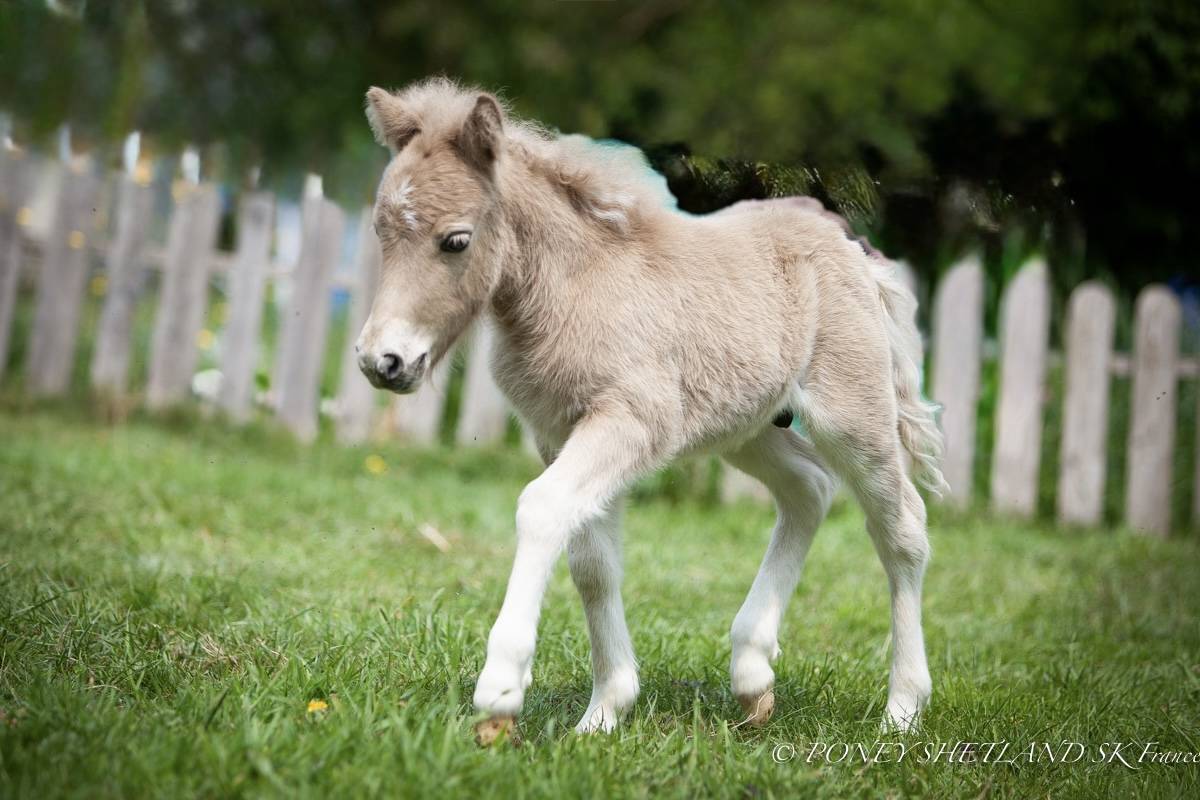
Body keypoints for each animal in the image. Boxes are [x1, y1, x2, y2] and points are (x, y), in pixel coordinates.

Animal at [354, 77, 946, 743]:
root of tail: (853, 248)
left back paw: (903, 708)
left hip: (853, 413)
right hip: (748, 428)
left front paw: (500, 696)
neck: (575, 285)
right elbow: (592, 561)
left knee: (901, 527)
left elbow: (542, 510)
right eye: (381, 231)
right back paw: (752, 677)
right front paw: (604, 711)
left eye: (456, 240)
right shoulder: (559, 432)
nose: (382, 360)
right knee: (808, 490)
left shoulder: (630, 421)